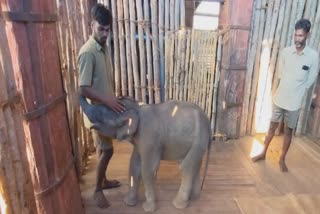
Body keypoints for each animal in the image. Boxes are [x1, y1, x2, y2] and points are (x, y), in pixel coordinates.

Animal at [79, 96, 211, 212]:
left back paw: (179, 204)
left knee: (186, 167)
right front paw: (128, 203)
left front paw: (148, 208)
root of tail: (207, 120)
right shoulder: (140, 141)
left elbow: (148, 169)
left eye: (99, 115)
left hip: (199, 138)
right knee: (194, 165)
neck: (135, 107)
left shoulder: (149, 138)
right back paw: (194, 197)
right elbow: (134, 166)